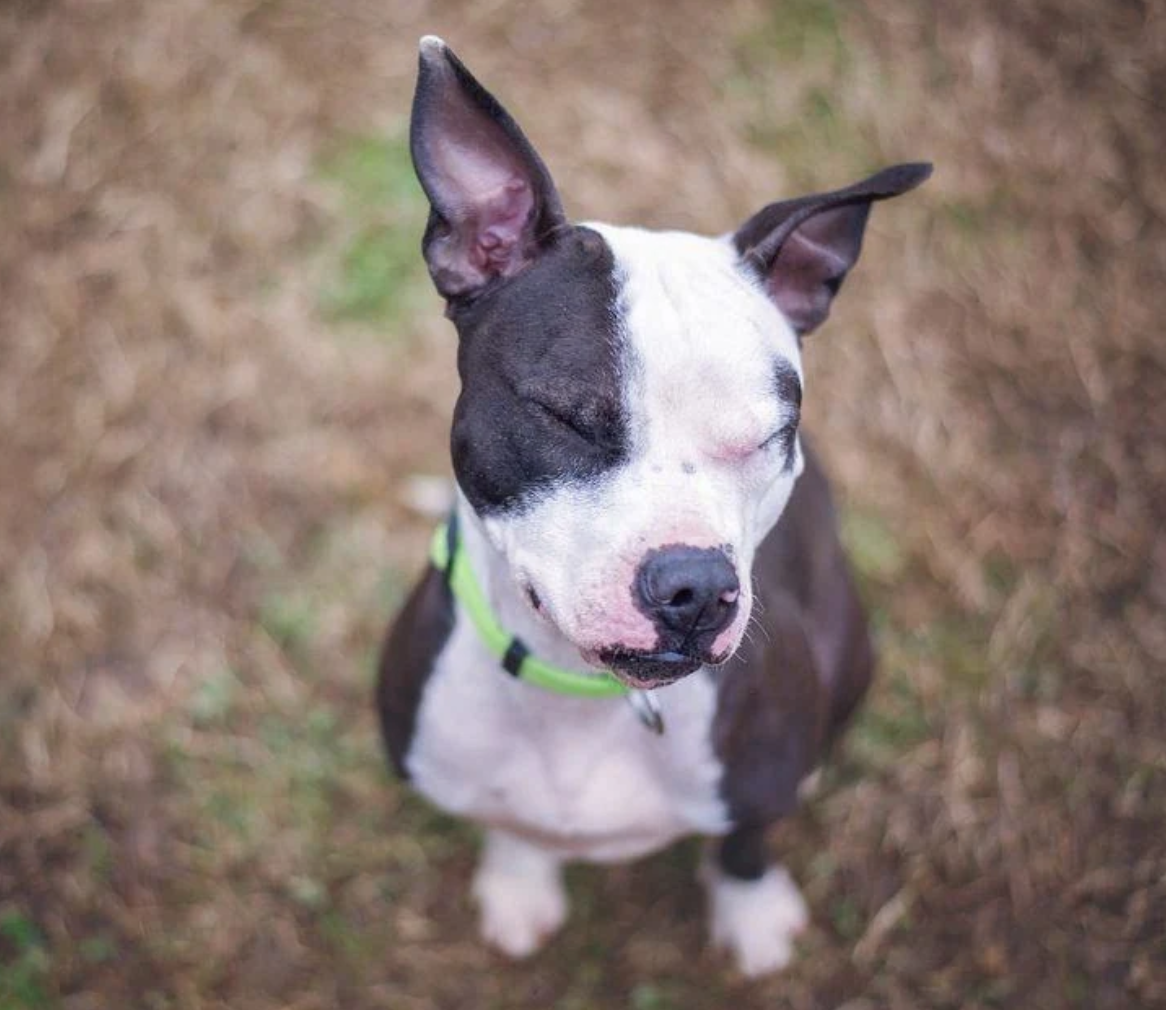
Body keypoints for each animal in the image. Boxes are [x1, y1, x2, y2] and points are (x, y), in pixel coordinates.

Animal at [377, 35, 932, 970]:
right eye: (565, 414)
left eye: (769, 434)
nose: (696, 588)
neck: (579, 694)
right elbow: (508, 824)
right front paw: (518, 881)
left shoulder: (758, 782)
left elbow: (746, 838)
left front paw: (751, 914)